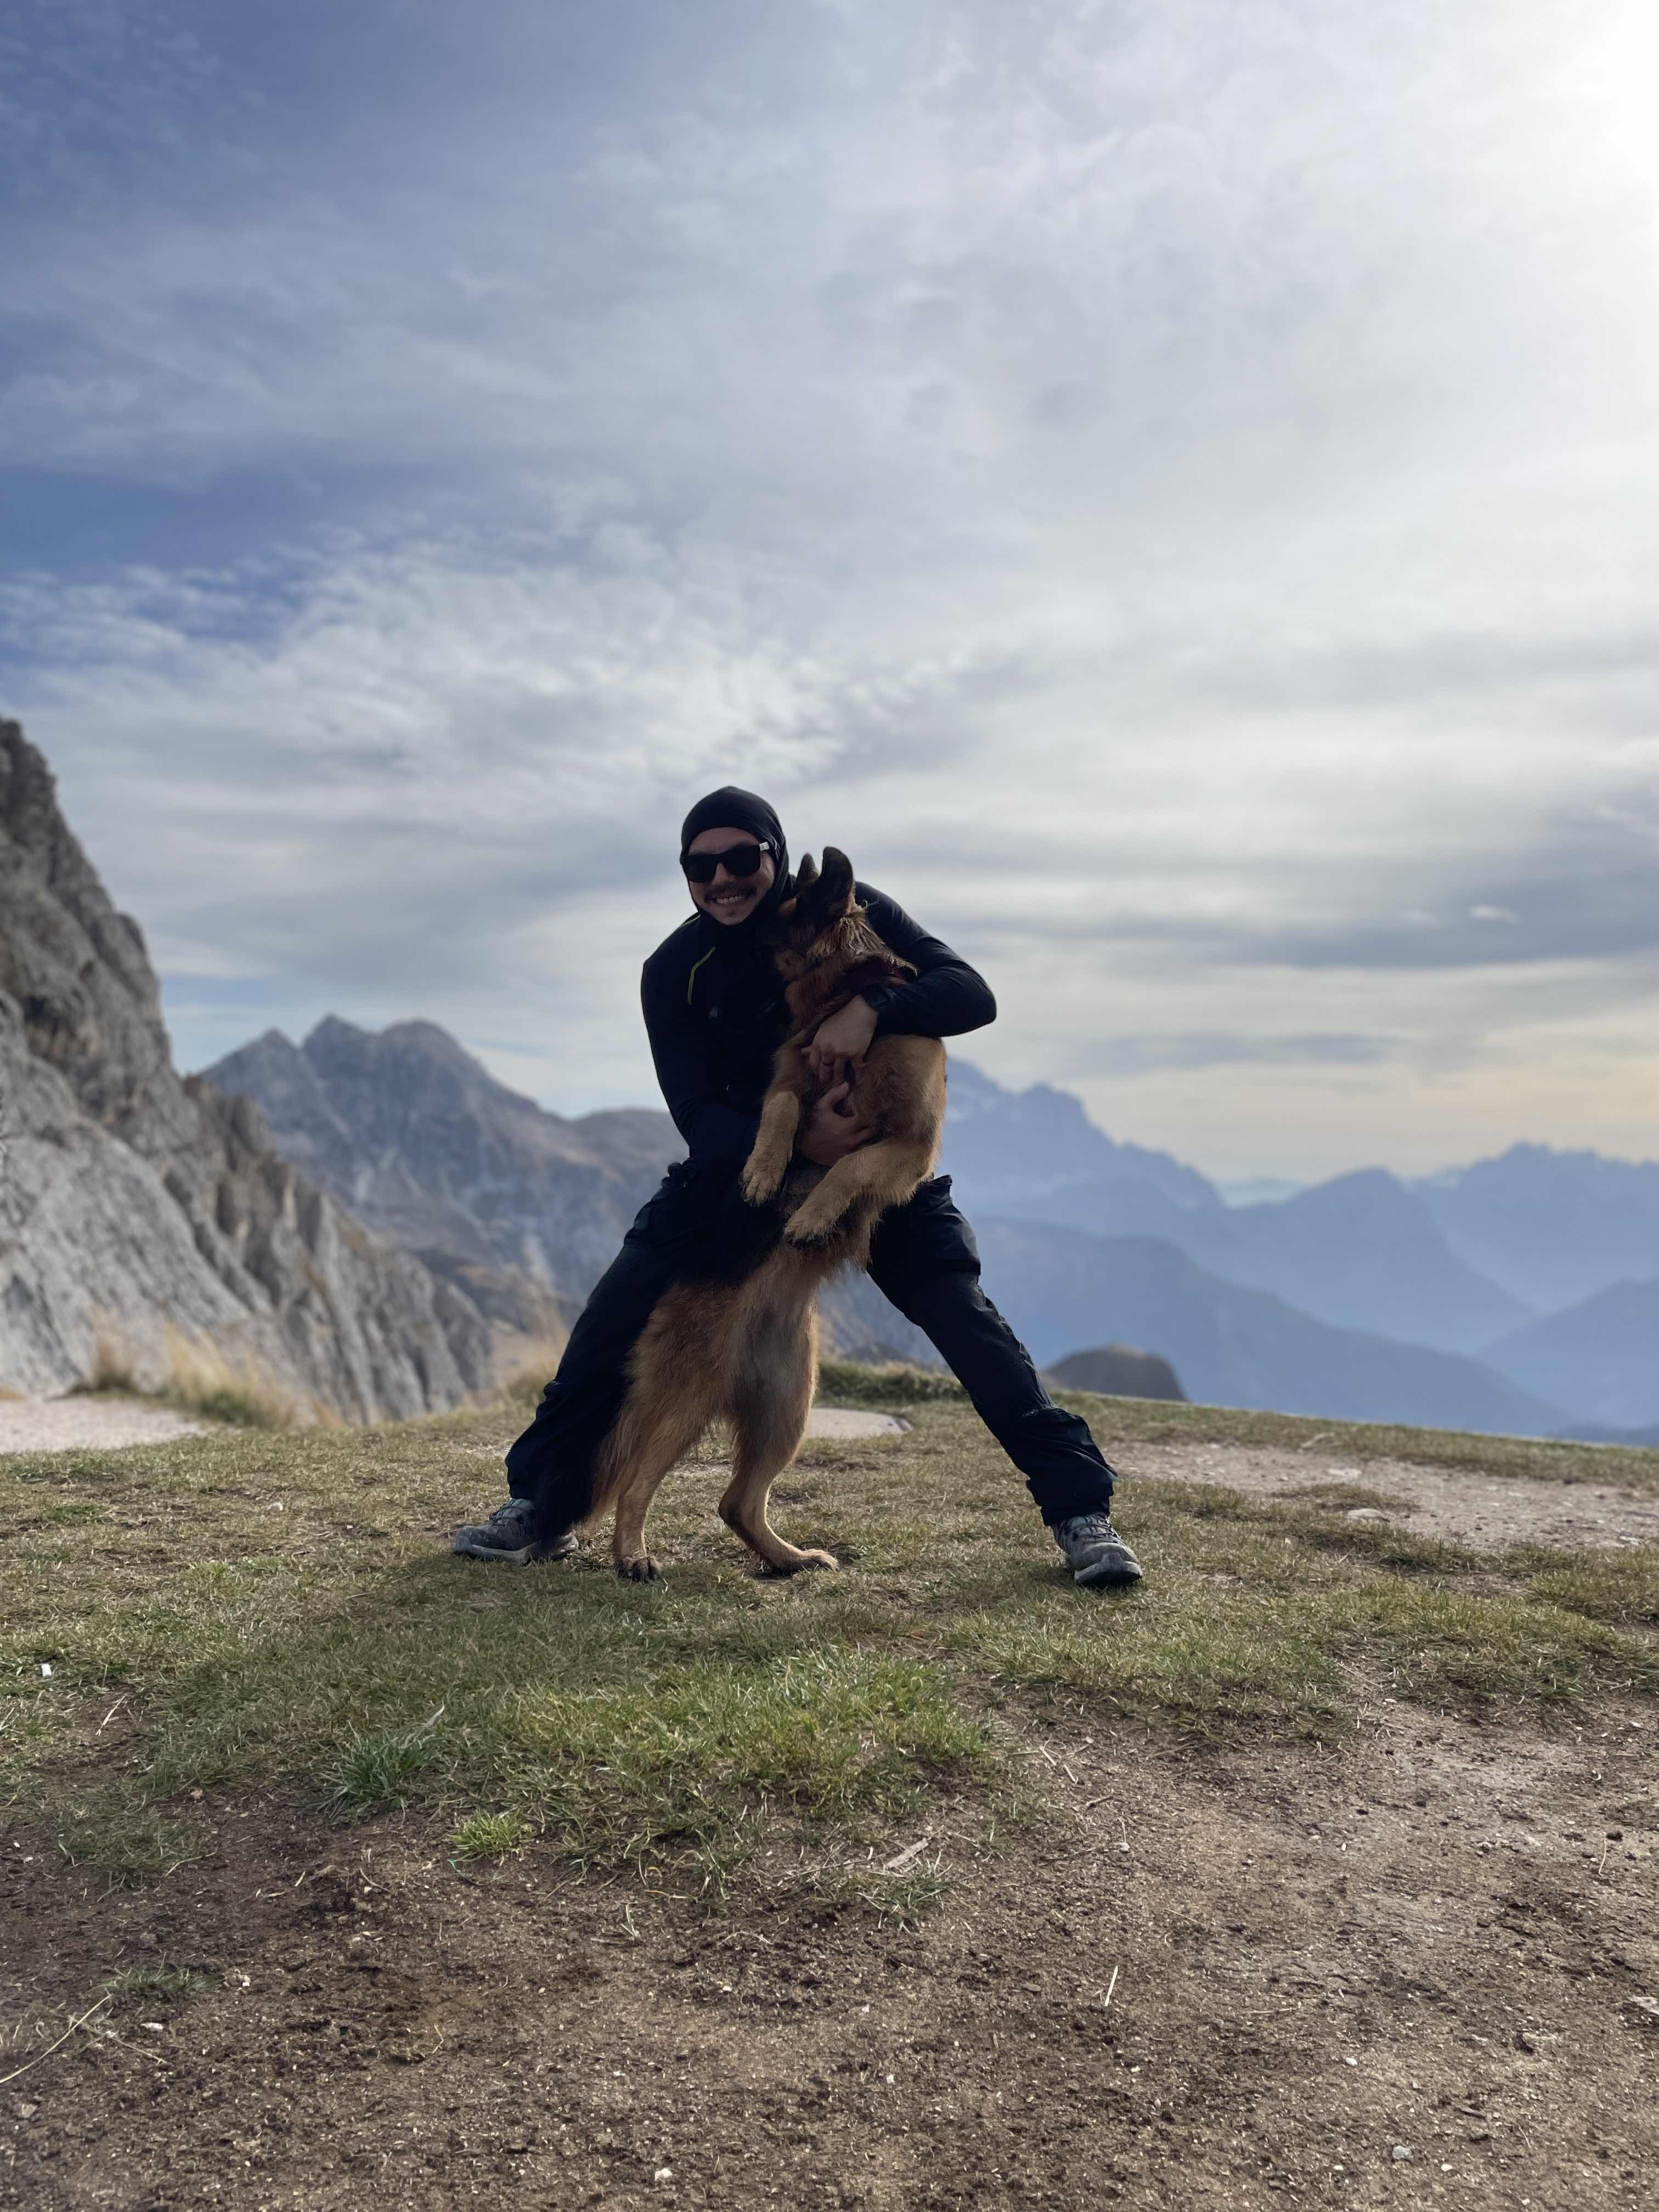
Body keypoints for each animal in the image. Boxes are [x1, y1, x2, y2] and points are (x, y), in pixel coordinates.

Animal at [581, 849, 946, 1580]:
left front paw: (808, 1214)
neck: (844, 999)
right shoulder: (791, 1081)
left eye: (766, 932)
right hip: (693, 1398)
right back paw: (634, 1554)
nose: (716, 955)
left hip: (789, 1408)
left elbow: (850, 1166)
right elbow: (782, 1110)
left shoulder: (910, 1144)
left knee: (737, 1503)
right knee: (637, 1481)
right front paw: (762, 1175)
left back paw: (788, 1557)